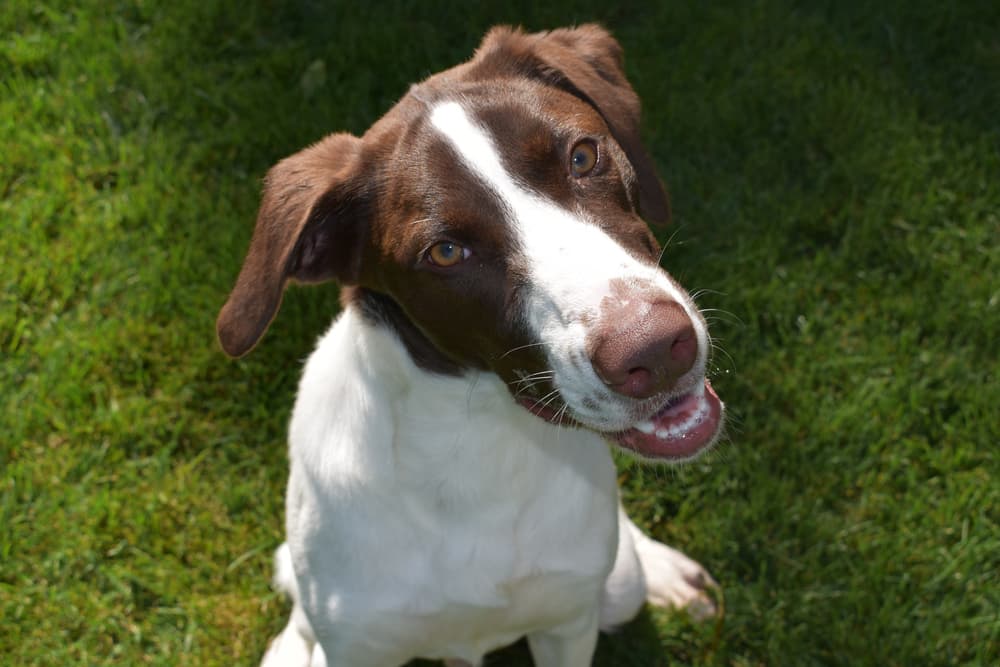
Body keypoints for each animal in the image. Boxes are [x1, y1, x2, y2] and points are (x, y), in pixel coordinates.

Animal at [215, 23, 724, 664]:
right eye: (446, 253)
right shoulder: (358, 645)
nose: (655, 351)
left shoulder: (567, 623)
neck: (478, 441)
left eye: (583, 156)